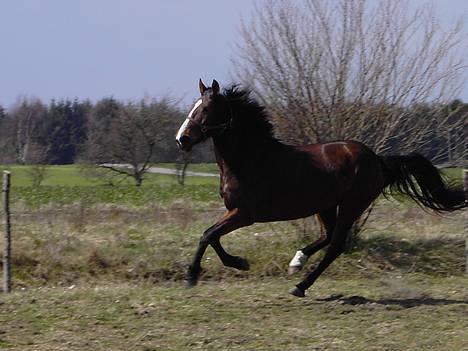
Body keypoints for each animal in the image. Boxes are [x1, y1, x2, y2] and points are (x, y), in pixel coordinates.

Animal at [176, 79, 468, 296]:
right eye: (194, 106)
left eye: (206, 108)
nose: (182, 139)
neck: (250, 159)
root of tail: (377, 159)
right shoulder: (235, 212)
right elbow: (211, 235)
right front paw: (235, 263)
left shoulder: (245, 214)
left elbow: (208, 235)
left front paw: (199, 274)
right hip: (325, 206)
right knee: (327, 237)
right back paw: (297, 262)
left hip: (352, 205)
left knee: (336, 245)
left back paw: (300, 285)